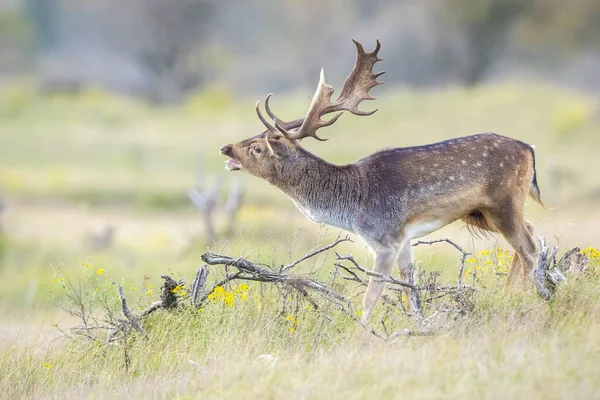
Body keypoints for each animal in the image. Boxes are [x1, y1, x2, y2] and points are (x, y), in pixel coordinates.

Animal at [219, 39, 548, 322]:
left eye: (257, 148)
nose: (226, 147)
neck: (352, 204)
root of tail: (529, 149)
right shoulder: (403, 239)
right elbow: (410, 289)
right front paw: (419, 324)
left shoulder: (385, 238)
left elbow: (371, 296)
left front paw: (362, 332)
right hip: (481, 212)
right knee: (530, 232)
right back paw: (509, 294)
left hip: (503, 202)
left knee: (530, 248)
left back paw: (530, 298)